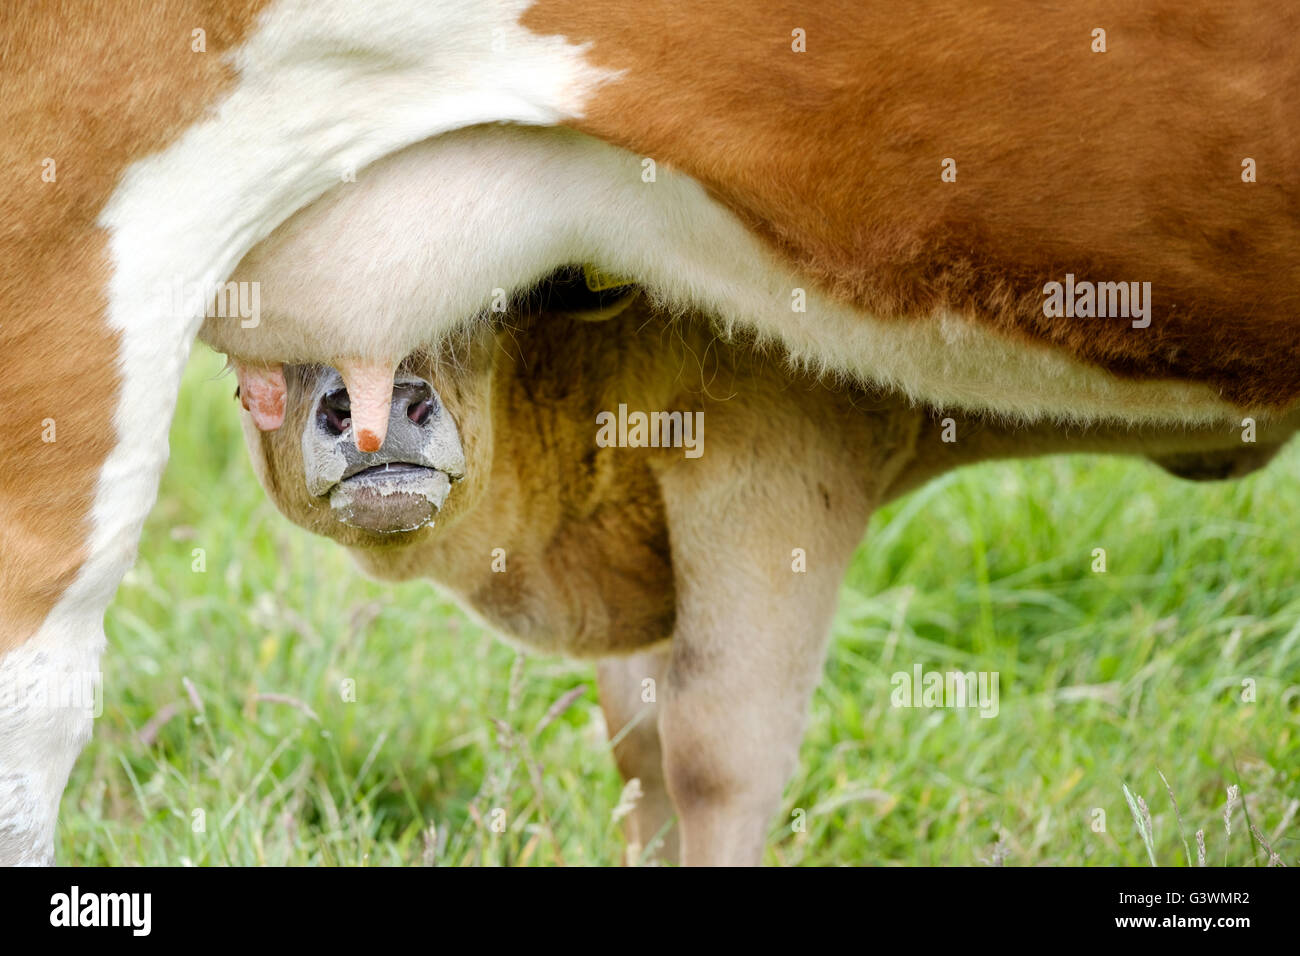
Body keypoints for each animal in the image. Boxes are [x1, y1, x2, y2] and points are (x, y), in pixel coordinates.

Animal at [1, 1, 1297, 865]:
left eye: (473, 321)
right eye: (266, 385)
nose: (375, 409)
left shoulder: (768, 451)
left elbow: (706, 747)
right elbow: (659, 744)